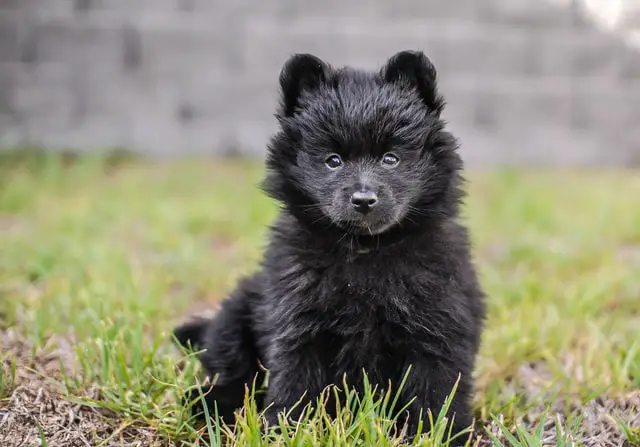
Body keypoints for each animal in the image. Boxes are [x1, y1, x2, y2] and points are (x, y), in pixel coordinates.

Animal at [174, 50, 484, 442]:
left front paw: (439, 435)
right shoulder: (297, 324)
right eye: (333, 161)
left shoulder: (439, 328)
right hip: (238, 312)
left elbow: (436, 392)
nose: (363, 199)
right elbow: (295, 381)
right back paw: (209, 402)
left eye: (391, 158)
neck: (366, 251)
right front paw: (286, 430)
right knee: (234, 369)